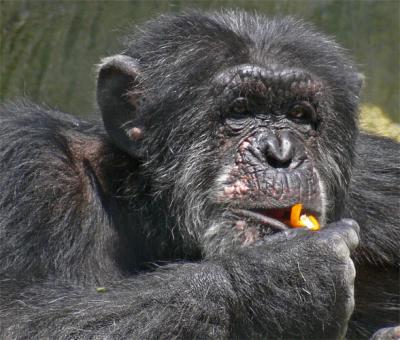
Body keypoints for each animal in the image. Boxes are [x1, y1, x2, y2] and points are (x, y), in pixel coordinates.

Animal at [0, 9, 400, 338]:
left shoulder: (377, 178)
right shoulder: (28, 164)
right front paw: (288, 271)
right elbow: (17, 320)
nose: (280, 153)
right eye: (240, 110)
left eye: (300, 115)